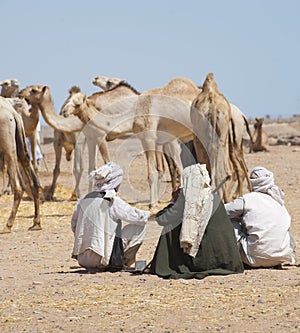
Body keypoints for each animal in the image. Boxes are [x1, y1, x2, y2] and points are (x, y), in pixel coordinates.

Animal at [0, 94, 40, 232]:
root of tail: (12, 113)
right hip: (19, 142)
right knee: (33, 179)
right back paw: (36, 223)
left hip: (8, 145)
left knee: (17, 186)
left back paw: (8, 225)